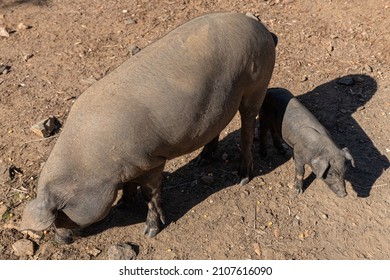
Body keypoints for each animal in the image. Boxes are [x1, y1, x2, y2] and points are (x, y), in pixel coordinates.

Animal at [19, 12, 278, 242]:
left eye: (60, 215)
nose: (60, 240)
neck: (95, 166)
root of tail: (261, 28)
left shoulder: (151, 160)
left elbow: (150, 194)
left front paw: (151, 231)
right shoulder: (130, 167)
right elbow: (129, 186)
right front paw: (123, 205)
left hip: (257, 84)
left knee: (247, 128)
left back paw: (242, 177)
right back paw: (202, 161)